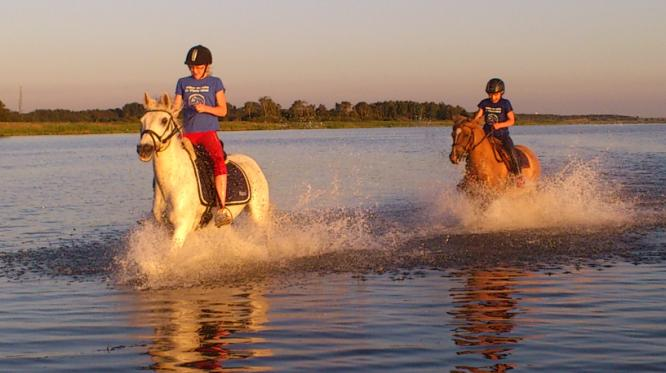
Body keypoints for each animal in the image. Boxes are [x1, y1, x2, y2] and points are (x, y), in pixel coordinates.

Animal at [136, 92, 268, 247]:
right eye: (142, 121)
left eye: (164, 120)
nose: (144, 149)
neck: (172, 182)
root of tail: (252, 162)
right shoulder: (166, 228)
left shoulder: (181, 227)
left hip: (259, 213)